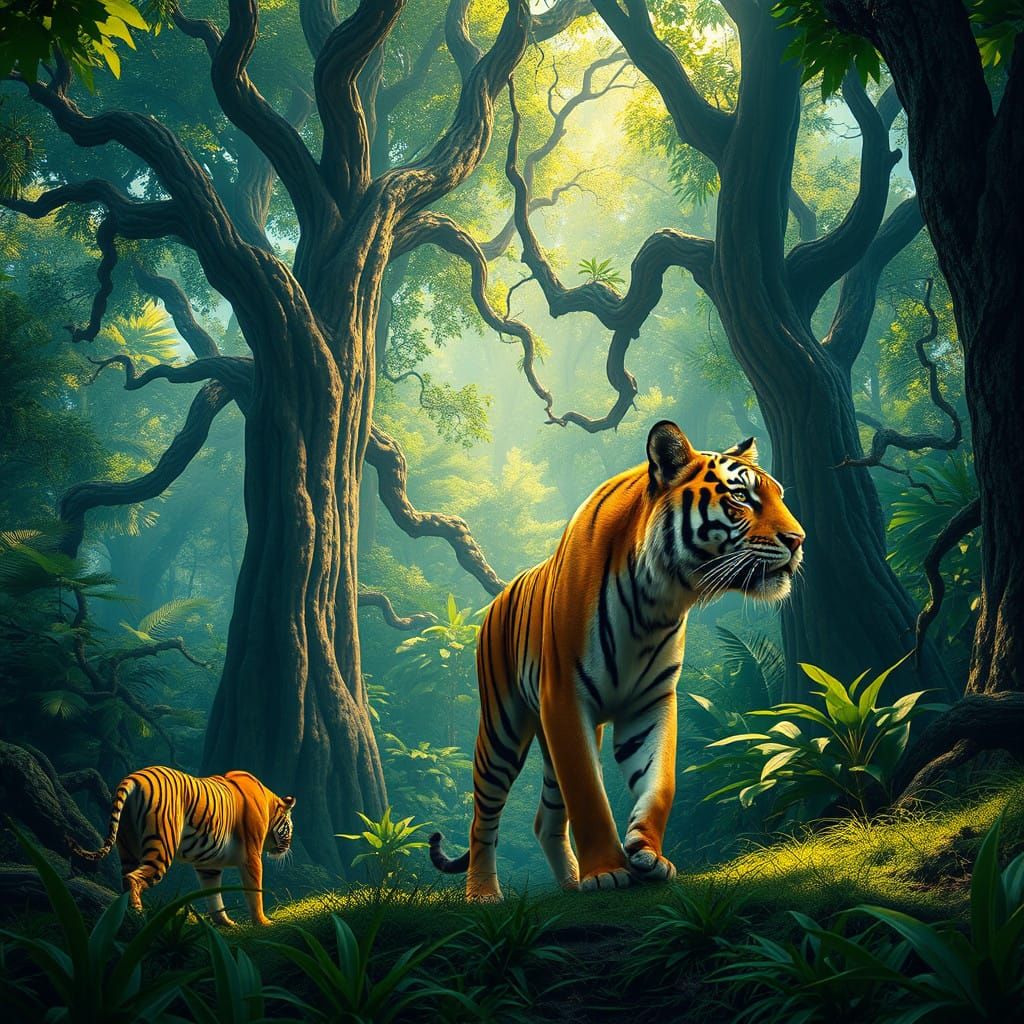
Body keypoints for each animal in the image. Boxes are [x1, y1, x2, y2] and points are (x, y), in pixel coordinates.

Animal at [68, 766, 295, 926]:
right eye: (290, 827)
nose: (288, 847)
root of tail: (134, 777)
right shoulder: (251, 856)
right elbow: (254, 891)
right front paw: (263, 922)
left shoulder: (209, 866)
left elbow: (214, 896)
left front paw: (225, 923)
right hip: (162, 845)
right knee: (134, 878)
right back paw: (138, 914)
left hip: (127, 846)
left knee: (125, 877)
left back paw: (123, 916)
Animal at [430, 420, 804, 901]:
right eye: (740, 497)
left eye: (779, 495)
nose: (798, 540)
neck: (658, 599)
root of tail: (501, 595)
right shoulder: (566, 700)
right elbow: (588, 794)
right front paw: (607, 870)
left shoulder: (651, 701)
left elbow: (659, 783)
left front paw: (647, 855)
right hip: (501, 728)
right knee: (484, 816)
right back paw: (484, 892)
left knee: (545, 818)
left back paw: (571, 884)